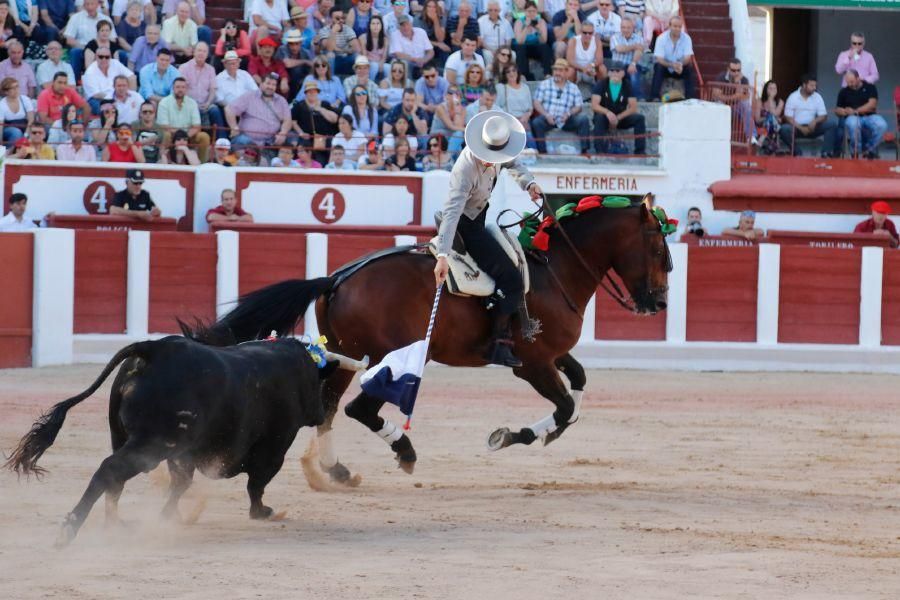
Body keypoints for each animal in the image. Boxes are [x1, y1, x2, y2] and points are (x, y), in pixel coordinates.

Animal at [4, 336, 338, 548]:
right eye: (318, 383)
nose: (321, 413)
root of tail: (155, 349)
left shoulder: (183, 453)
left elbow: (181, 482)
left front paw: (170, 516)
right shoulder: (274, 447)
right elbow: (256, 484)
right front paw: (262, 512)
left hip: (126, 438)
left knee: (115, 477)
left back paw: (115, 524)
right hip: (152, 444)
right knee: (111, 470)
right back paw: (70, 529)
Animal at [185, 197, 668, 482]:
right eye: (659, 249)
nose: (659, 302)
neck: (555, 268)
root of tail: (337, 279)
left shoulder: (554, 354)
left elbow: (579, 387)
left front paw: (543, 434)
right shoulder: (533, 363)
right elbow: (566, 404)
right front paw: (508, 436)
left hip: (345, 354)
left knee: (328, 407)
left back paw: (335, 469)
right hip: (389, 357)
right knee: (359, 409)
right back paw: (404, 451)